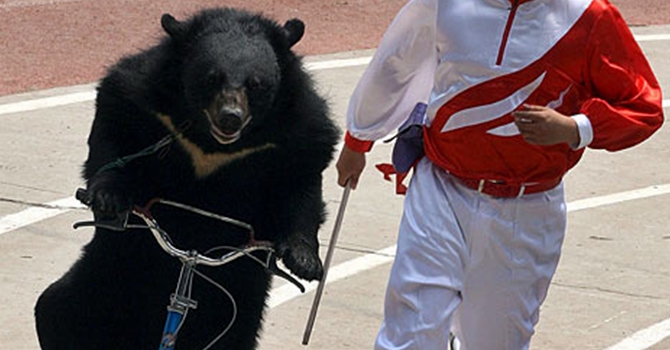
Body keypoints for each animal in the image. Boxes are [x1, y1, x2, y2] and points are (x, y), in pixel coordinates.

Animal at [36, 8, 338, 350]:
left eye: (255, 84)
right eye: (211, 78)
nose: (230, 117)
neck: (212, 145)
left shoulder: (298, 134)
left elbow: (301, 186)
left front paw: (304, 259)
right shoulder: (142, 99)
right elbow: (113, 135)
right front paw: (107, 199)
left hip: (240, 295)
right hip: (108, 274)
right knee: (59, 310)